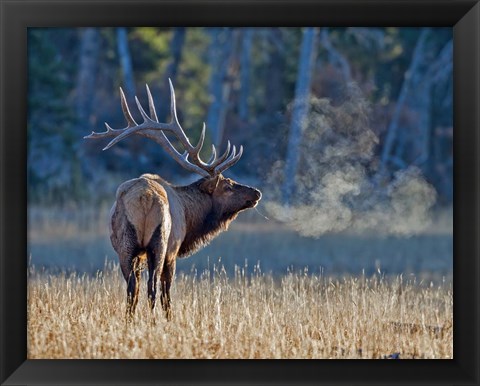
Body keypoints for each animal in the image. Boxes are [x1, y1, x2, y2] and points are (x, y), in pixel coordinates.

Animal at [84, 79, 260, 320]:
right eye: (228, 185)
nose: (256, 193)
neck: (189, 215)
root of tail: (145, 198)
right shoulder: (173, 252)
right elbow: (166, 294)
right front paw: (169, 319)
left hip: (125, 245)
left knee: (132, 288)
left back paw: (130, 320)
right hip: (159, 243)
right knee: (152, 288)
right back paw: (153, 321)